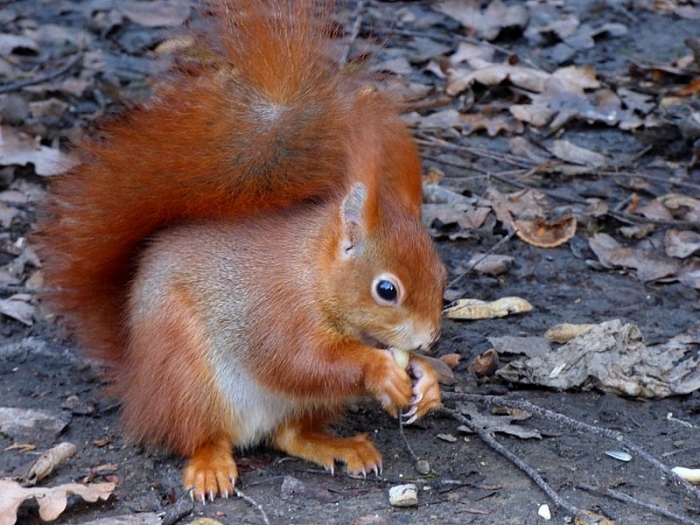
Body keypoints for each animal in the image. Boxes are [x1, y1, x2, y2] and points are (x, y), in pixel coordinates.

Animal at [39, 0, 446, 502]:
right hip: (186, 371)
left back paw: (338, 446)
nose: (429, 339)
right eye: (386, 290)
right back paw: (210, 465)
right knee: (199, 434)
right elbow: (298, 360)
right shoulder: (273, 310)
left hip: (297, 406)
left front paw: (427, 378)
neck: (312, 275)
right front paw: (380, 369)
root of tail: (138, 386)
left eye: (442, 277)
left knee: (289, 434)